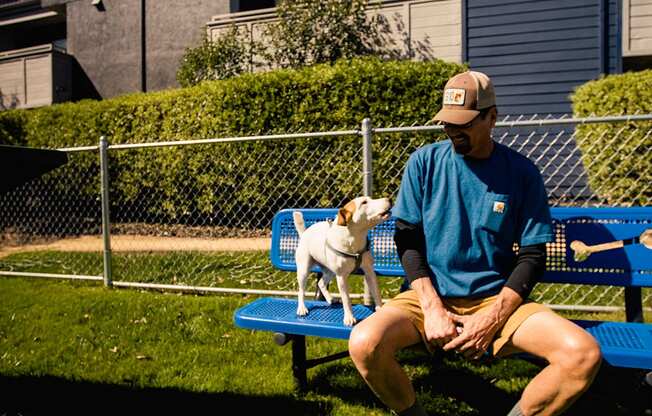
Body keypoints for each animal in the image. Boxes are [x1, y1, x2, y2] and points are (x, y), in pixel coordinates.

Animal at [294, 197, 392, 326]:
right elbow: (346, 299)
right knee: (301, 291)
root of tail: (304, 233)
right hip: (304, 270)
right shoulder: (341, 277)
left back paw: (330, 299)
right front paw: (349, 318)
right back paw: (302, 308)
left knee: (321, 283)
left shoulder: (369, 272)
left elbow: (376, 293)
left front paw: (380, 310)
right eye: (364, 202)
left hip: (330, 271)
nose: (389, 199)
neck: (354, 238)